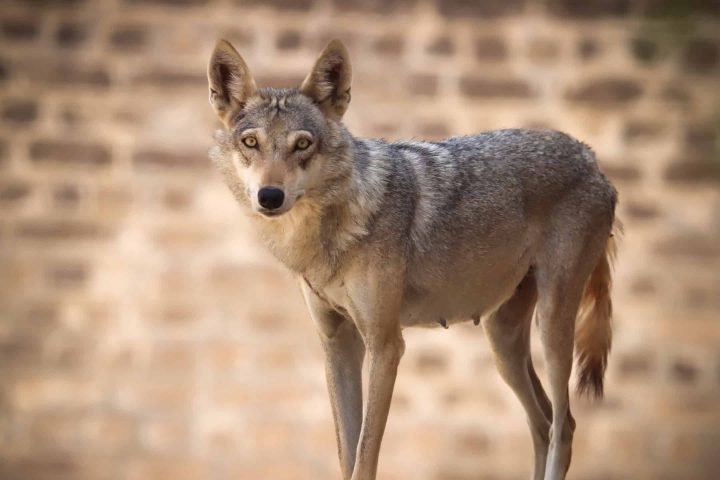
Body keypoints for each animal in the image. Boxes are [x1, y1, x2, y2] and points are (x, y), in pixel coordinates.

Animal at [207, 38, 618, 480]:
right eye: (251, 143)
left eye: (302, 144)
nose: (270, 196)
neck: (331, 232)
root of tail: (592, 159)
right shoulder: (336, 344)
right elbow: (347, 453)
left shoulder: (386, 346)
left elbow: (365, 456)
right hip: (503, 341)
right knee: (542, 423)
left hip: (553, 325)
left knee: (564, 425)